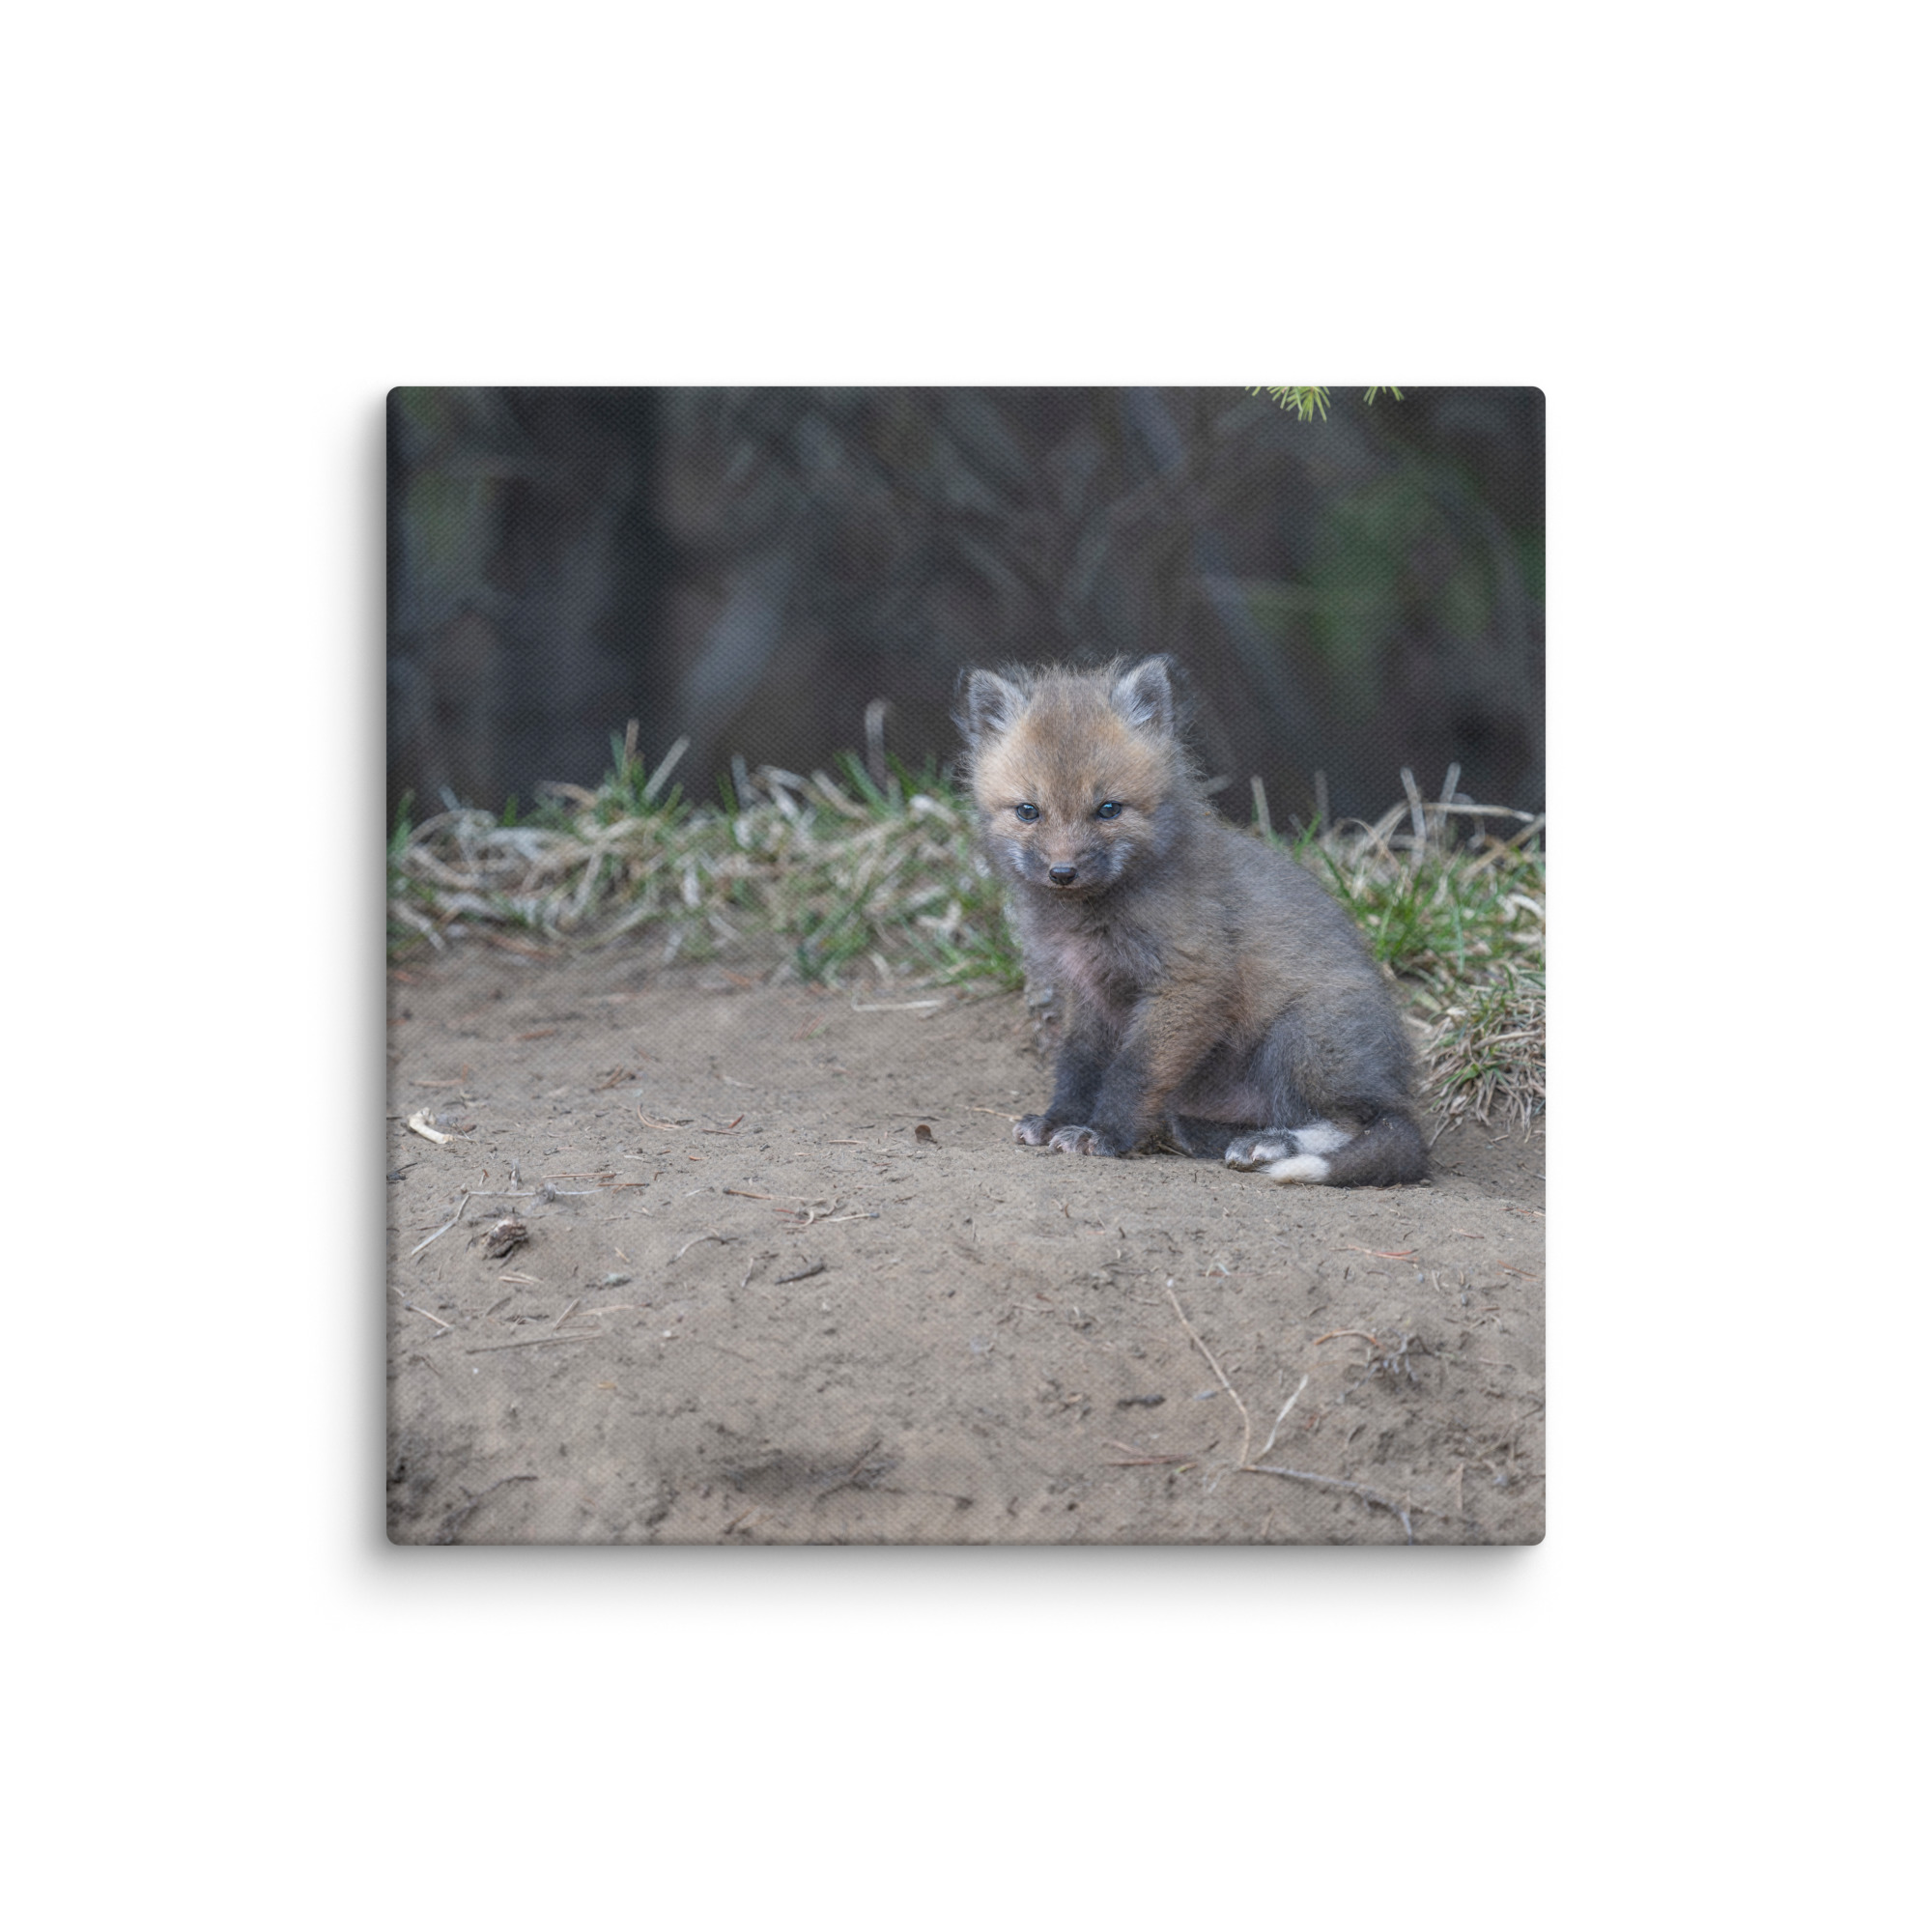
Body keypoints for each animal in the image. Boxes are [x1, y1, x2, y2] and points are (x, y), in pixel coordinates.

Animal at [956, 654, 1427, 1187]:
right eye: (1028, 811)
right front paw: (1060, 1120)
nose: (1062, 872)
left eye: (1108, 809)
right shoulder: (1089, 992)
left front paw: (1105, 1135)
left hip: (1300, 1038)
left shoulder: (1189, 981)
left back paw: (1270, 1144)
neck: (1093, 917)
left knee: (1357, 1123)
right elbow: (1078, 1065)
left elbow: (1132, 1071)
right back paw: (1201, 1133)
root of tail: (1395, 1084)